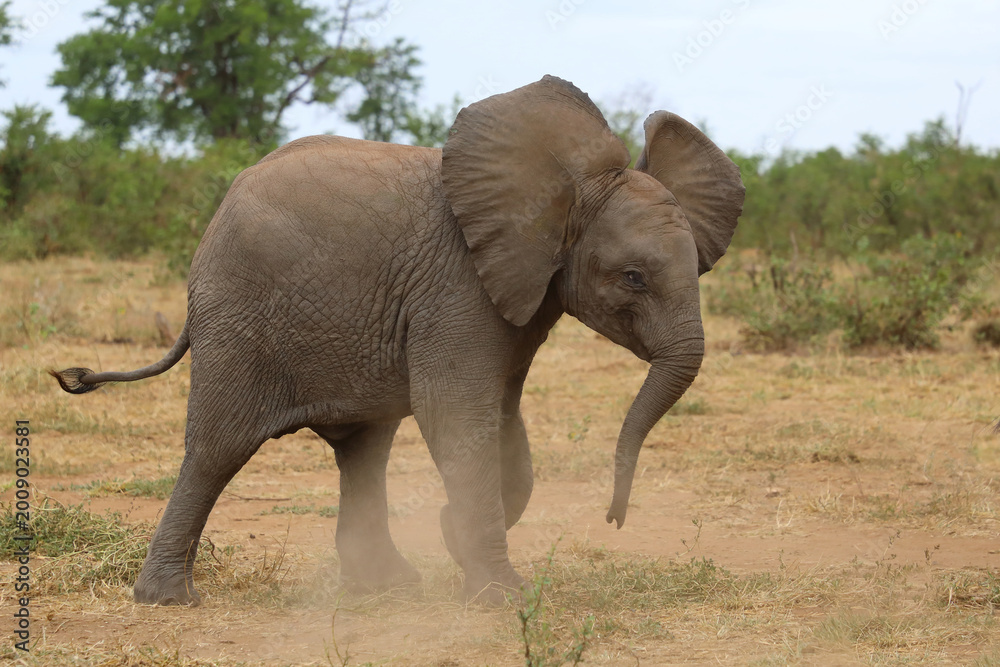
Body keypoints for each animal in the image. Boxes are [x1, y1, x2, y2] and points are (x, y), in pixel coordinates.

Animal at [51, 75, 744, 606]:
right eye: (633, 277)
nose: (613, 517)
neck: (564, 193)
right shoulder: (460, 284)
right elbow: (456, 413)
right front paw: (501, 597)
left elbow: (501, 421)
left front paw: (455, 538)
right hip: (238, 314)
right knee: (218, 446)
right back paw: (169, 600)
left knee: (364, 448)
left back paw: (384, 586)